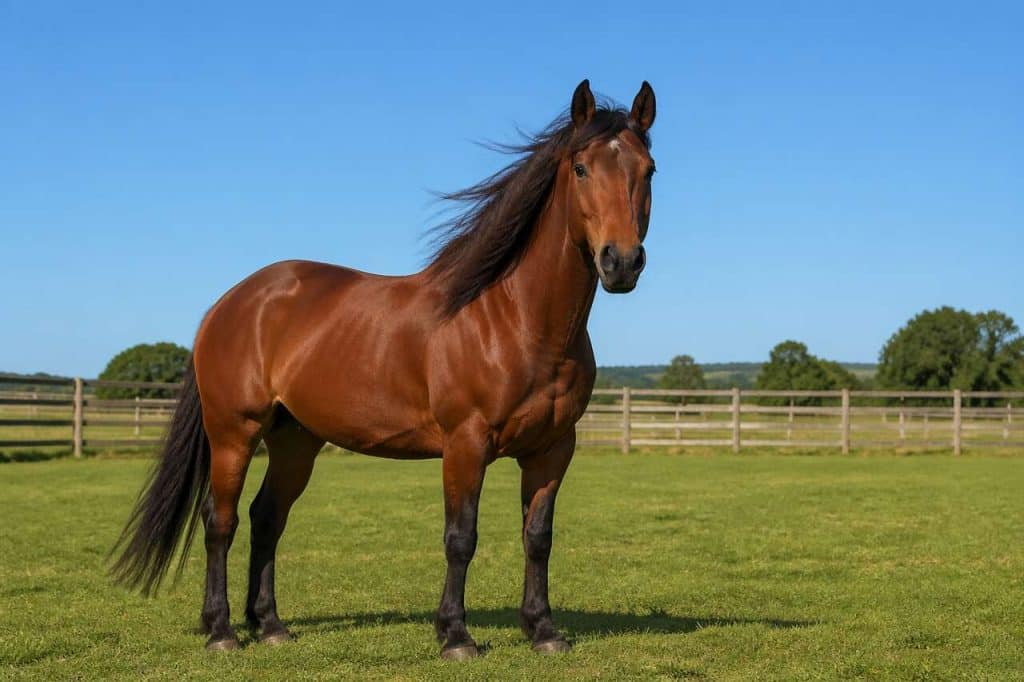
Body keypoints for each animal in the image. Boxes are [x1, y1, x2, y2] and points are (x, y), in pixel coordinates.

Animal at [112, 79, 657, 659]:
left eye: (648, 170)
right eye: (580, 168)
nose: (621, 261)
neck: (515, 319)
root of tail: (229, 304)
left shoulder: (553, 449)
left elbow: (538, 538)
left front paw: (543, 630)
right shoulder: (465, 444)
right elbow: (461, 538)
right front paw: (455, 635)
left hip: (295, 441)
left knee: (267, 518)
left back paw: (272, 626)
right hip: (234, 432)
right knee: (222, 521)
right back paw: (221, 631)